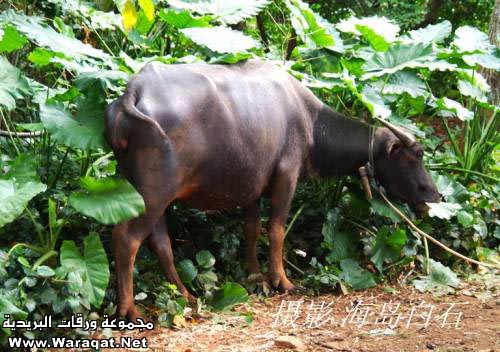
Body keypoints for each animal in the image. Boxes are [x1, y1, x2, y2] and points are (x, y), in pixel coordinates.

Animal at [103, 59, 440, 320]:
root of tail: (135, 91)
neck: (309, 120)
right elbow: (277, 229)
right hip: (154, 193)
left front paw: (254, 274)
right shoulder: (286, 177)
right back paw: (129, 309)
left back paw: (185, 295)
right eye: (417, 155)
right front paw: (281, 280)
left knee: (160, 242)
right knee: (127, 237)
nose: (435, 195)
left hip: (148, 193)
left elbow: (252, 229)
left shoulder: (253, 188)